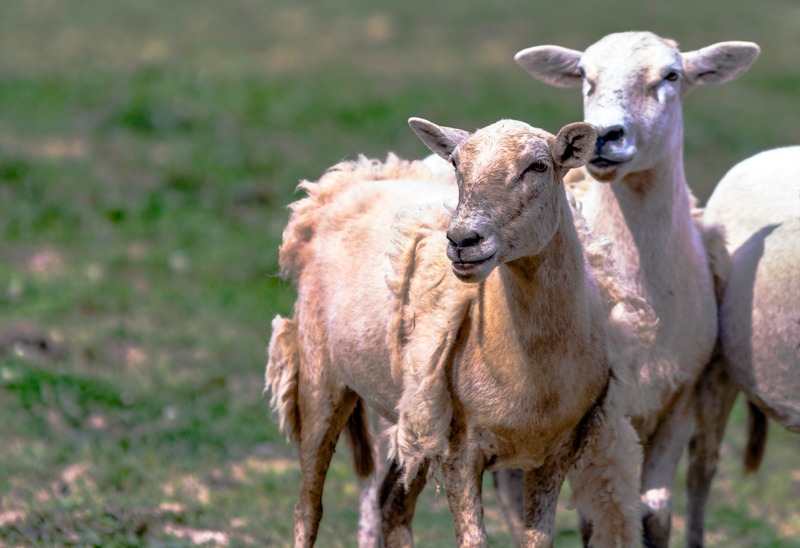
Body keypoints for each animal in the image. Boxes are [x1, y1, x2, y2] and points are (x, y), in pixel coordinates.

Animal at [266, 117, 653, 546]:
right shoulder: (459, 447)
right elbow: (473, 539)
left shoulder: (556, 452)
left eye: (538, 165)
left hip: (415, 413)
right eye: (455, 163)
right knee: (308, 506)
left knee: (393, 507)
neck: (535, 375)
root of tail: (345, 182)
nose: (462, 240)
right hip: (321, 378)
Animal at [512, 31, 760, 546]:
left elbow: (655, 517)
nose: (605, 134)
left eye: (671, 75)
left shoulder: (678, 401)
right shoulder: (597, 417)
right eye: (584, 75)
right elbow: (595, 522)